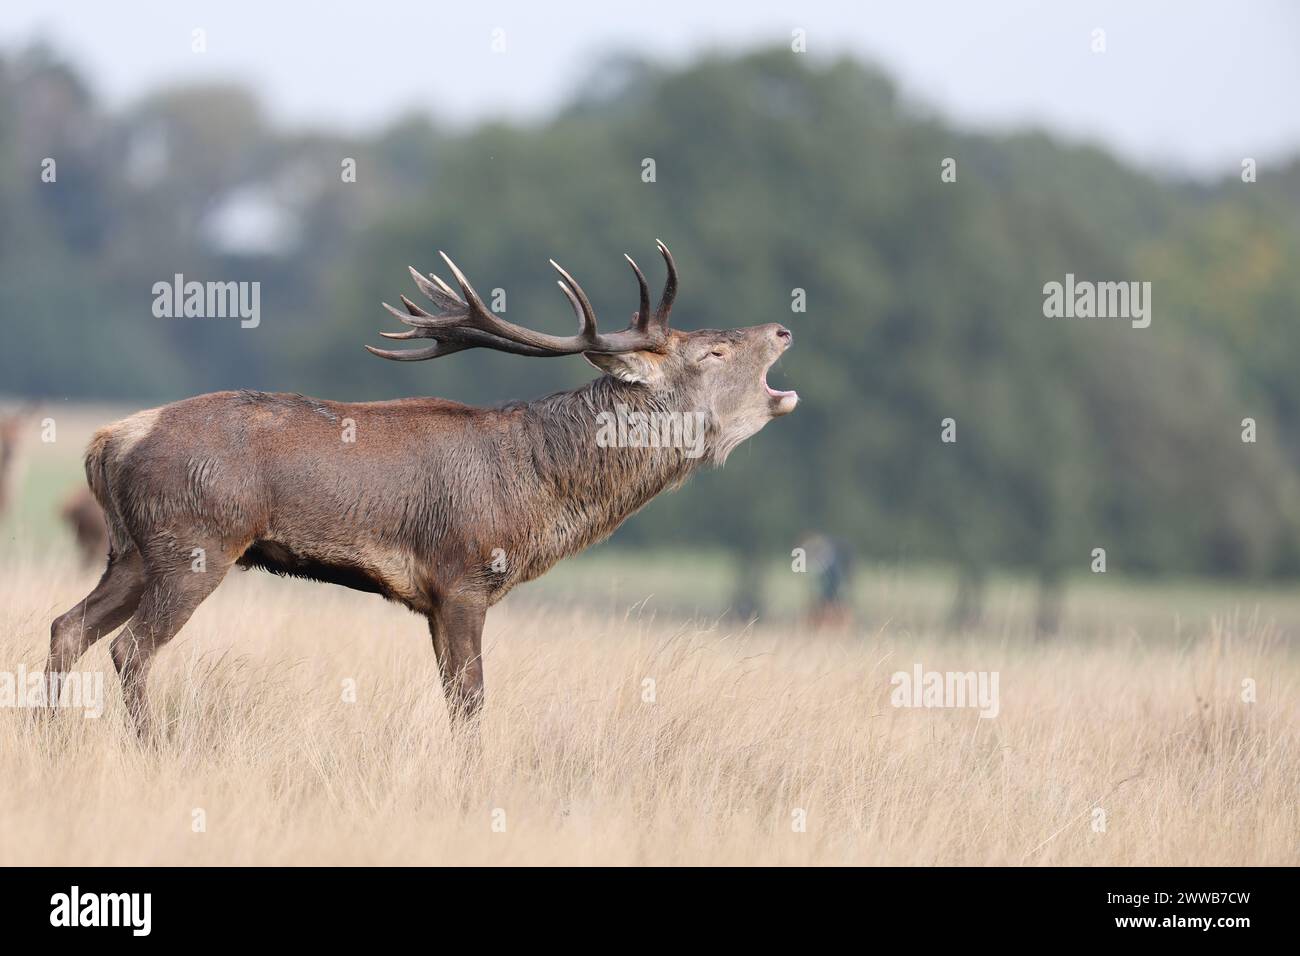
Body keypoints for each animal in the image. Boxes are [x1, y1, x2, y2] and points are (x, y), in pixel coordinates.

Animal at [45, 243, 795, 738]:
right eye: (713, 352)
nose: (783, 327)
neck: (538, 494)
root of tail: (110, 440)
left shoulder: (435, 599)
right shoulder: (462, 577)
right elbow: (470, 704)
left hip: (132, 550)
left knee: (66, 626)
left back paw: (50, 739)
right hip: (195, 542)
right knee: (128, 649)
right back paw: (150, 747)